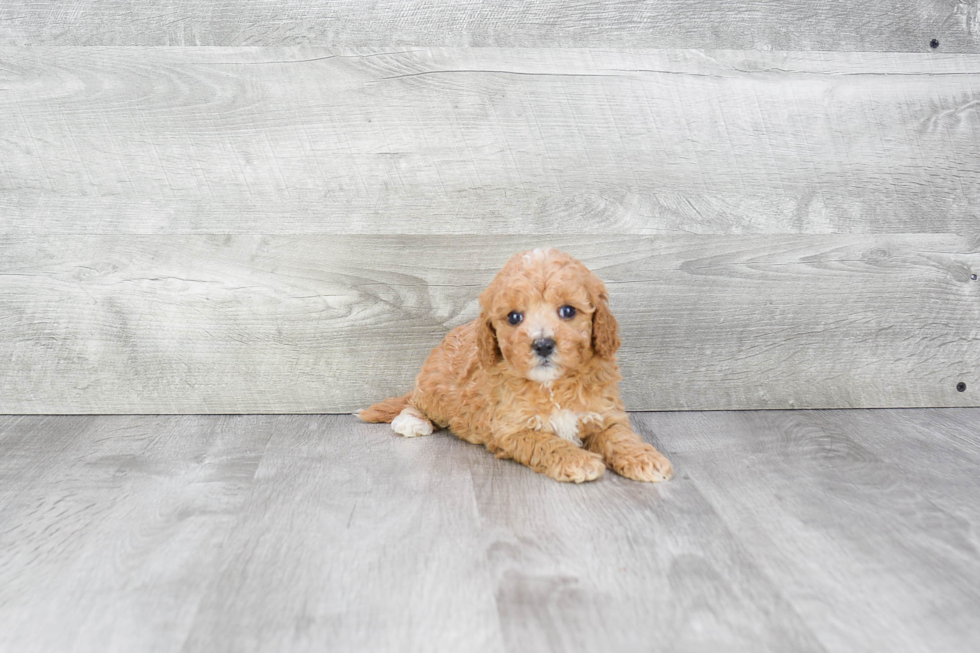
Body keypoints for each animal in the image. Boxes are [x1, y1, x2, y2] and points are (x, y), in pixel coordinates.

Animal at [360, 247, 672, 482]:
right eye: (514, 317)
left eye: (568, 311)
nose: (543, 344)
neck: (552, 384)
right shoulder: (512, 428)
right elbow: (546, 442)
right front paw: (579, 460)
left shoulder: (604, 413)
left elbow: (620, 436)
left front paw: (646, 459)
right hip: (436, 388)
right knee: (416, 401)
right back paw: (412, 421)